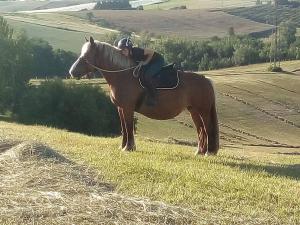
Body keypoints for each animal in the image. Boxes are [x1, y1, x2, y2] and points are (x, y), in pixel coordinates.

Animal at [70, 37, 220, 156]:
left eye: (86, 55)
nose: (71, 72)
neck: (123, 76)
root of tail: (205, 80)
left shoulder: (127, 108)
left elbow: (128, 127)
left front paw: (129, 147)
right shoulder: (120, 108)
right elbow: (124, 128)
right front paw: (123, 146)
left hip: (203, 111)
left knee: (207, 128)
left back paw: (208, 152)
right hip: (194, 111)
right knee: (201, 130)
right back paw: (200, 151)